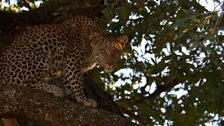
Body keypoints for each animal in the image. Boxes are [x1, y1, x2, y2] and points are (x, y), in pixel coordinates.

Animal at [0, 15, 128, 107]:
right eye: (103, 51)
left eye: (116, 52)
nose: (110, 64)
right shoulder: (72, 60)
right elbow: (77, 82)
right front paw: (83, 99)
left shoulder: (68, 66)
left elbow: (69, 81)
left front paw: (73, 97)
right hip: (39, 54)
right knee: (24, 83)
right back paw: (55, 89)